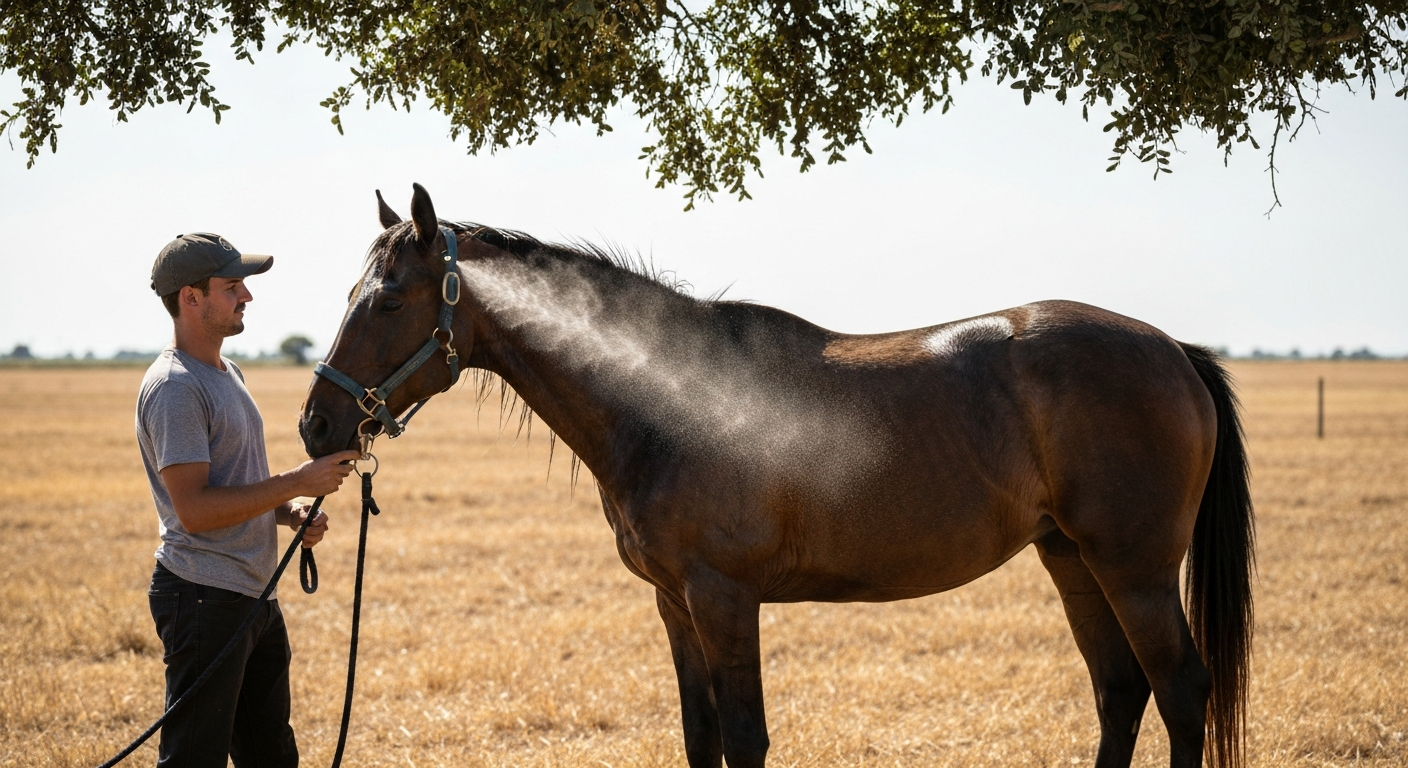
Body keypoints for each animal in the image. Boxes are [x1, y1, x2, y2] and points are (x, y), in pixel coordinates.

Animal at [299, 184, 1254, 768]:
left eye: (387, 299)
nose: (317, 425)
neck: (669, 395)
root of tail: (1173, 350)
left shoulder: (725, 597)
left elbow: (747, 738)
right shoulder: (674, 603)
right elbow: (702, 738)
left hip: (1133, 568)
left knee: (1180, 691)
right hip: (1072, 560)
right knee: (1121, 691)